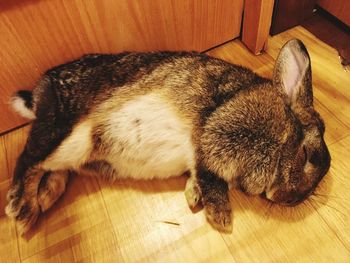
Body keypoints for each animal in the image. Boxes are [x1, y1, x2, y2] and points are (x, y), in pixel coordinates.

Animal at [5, 38, 330, 234]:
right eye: (306, 154)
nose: (292, 200)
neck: (281, 131)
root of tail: (39, 93)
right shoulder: (216, 131)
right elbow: (209, 173)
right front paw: (221, 217)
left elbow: (200, 173)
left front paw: (193, 196)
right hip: (69, 134)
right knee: (30, 159)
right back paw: (21, 208)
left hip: (78, 150)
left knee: (53, 167)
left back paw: (45, 197)